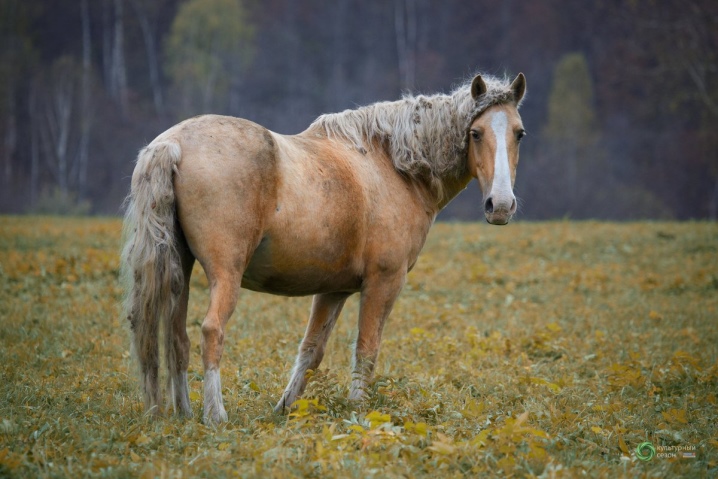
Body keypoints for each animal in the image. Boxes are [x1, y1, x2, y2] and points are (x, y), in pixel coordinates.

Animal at [122, 71, 528, 424]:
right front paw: (359, 412)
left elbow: (311, 351)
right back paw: (214, 415)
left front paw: (285, 410)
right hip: (226, 274)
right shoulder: (384, 283)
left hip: (181, 270)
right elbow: (366, 348)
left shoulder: (334, 290)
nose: (501, 205)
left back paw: (184, 413)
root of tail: (173, 144)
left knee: (177, 337)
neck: (393, 165)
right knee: (211, 332)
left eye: (519, 134)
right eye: (475, 133)